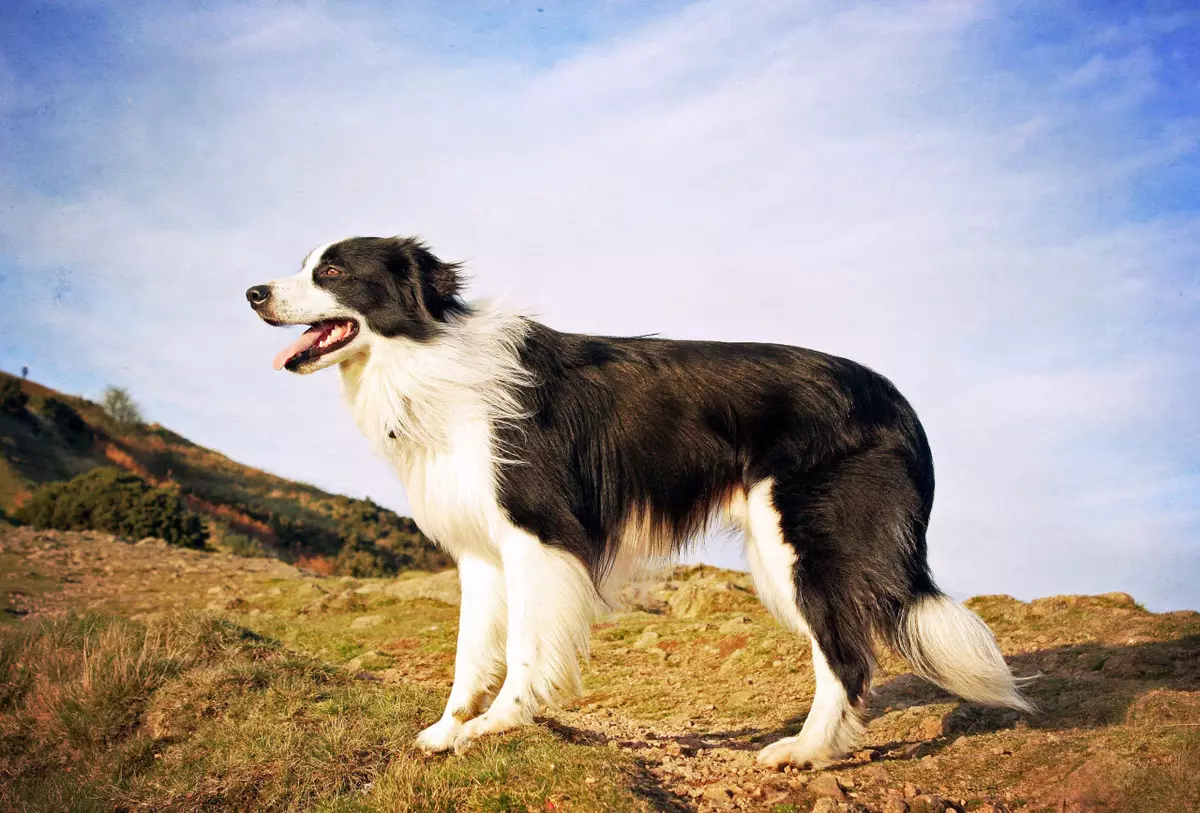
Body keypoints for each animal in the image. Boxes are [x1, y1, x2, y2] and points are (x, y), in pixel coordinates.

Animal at [246, 237, 1032, 772]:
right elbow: (470, 652)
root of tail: (897, 400)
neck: (428, 359)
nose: (252, 292)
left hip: (804, 540)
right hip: (789, 557)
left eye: (331, 272)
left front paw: (499, 724)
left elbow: (525, 648)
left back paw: (803, 753)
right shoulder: (480, 550)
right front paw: (447, 730)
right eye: (305, 263)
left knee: (847, 654)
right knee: (839, 649)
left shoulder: (539, 533)